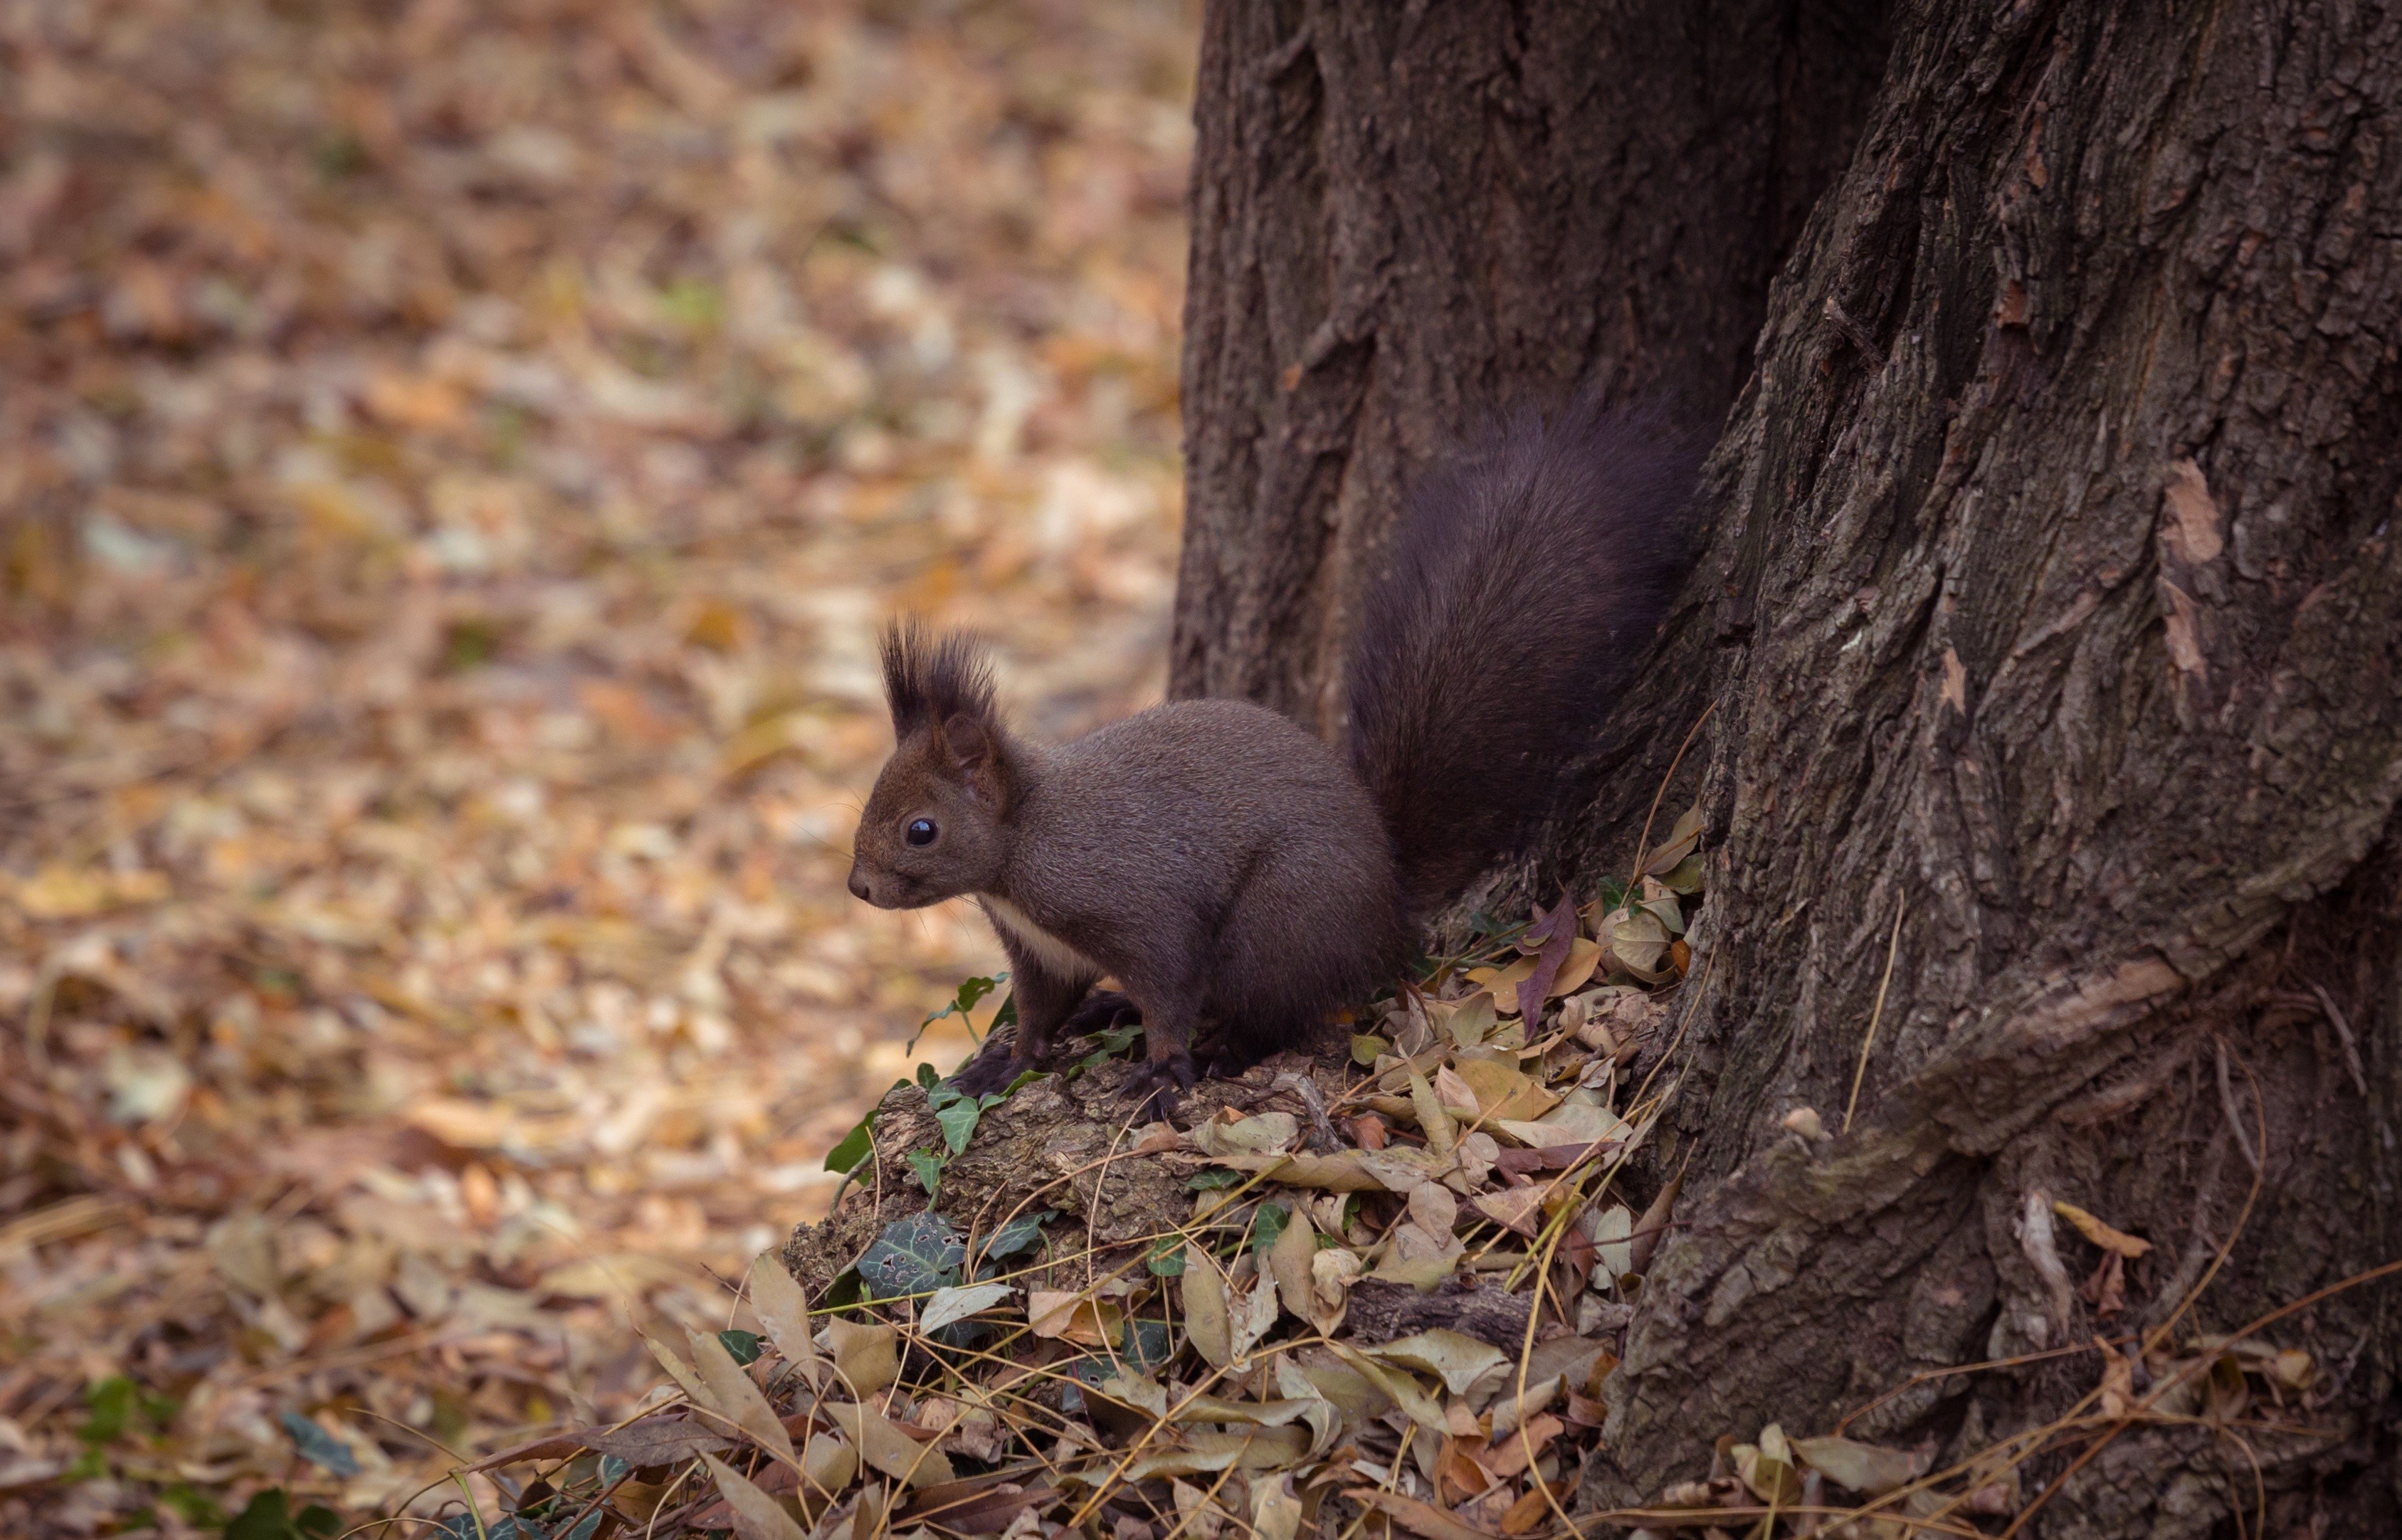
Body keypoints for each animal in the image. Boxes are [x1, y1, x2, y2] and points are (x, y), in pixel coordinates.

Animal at [846, 402, 1699, 1119]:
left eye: (921, 829)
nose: (858, 888)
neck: (1023, 845)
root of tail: (1388, 905)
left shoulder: (1138, 909)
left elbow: (1169, 992)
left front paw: (1162, 1072)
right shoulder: (1039, 953)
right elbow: (1036, 1015)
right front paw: (1007, 1063)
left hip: (1280, 921)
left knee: (1273, 1013)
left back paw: (1221, 1051)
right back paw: (1112, 1008)